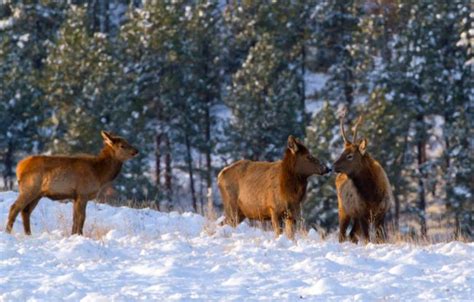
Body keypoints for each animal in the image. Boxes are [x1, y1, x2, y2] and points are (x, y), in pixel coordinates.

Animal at [6, 130, 139, 236]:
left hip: (38, 194)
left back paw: (28, 234)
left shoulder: (75, 196)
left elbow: (75, 218)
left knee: (25, 211)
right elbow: (82, 217)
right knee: (15, 207)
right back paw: (8, 232)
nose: (136, 151)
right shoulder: (83, 193)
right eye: (122, 145)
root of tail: (19, 167)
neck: (100, 174)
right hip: (29, 188)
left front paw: (73, 234)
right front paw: (80, 235)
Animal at [334, 111, 392, 243]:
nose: (333, 166)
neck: (372, 195)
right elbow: (367, 239)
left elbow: (381, 239)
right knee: (342, 235)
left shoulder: (382, 214)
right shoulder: (362, 213)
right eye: (342, 152)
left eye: (350, 156)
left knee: (351, 235)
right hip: (343, 210)